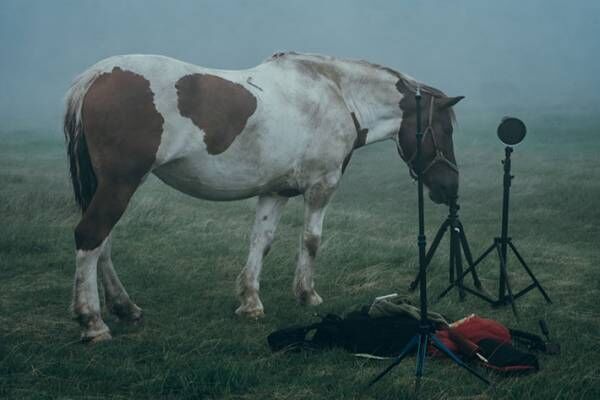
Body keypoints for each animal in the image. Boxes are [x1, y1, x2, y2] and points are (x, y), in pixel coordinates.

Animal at [63, 51, 462, 342]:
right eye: (443, 130)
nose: (450, 187)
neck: (336, 94)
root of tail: (95, 77)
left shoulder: (275, 191)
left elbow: (261, 241)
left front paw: (250, 302)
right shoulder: (321, 187)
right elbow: (311, 241)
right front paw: (306, 294)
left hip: (108, 186)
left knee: (103, 245)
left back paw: (125, 307)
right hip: (120, 184)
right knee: (91, 237)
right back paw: (93, 322)